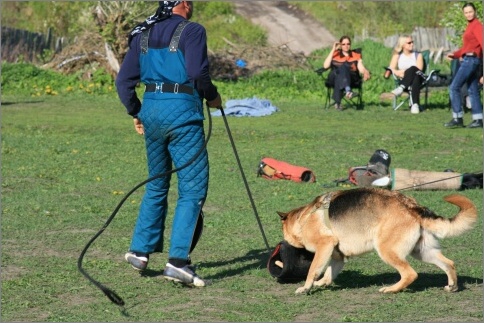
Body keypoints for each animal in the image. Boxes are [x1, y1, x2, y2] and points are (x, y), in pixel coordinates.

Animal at [276, 187, 476, 296]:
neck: (303, 218)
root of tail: (412, 207)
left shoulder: (324, 245)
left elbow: (313, 270)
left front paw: (306, 287)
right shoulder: (337, 257)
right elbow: (328, 275)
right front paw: (320, 284)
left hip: (386, 250)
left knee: (410, 274)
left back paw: (391, 289)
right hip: (423, 252)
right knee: (449, 264)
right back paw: (452, 286)